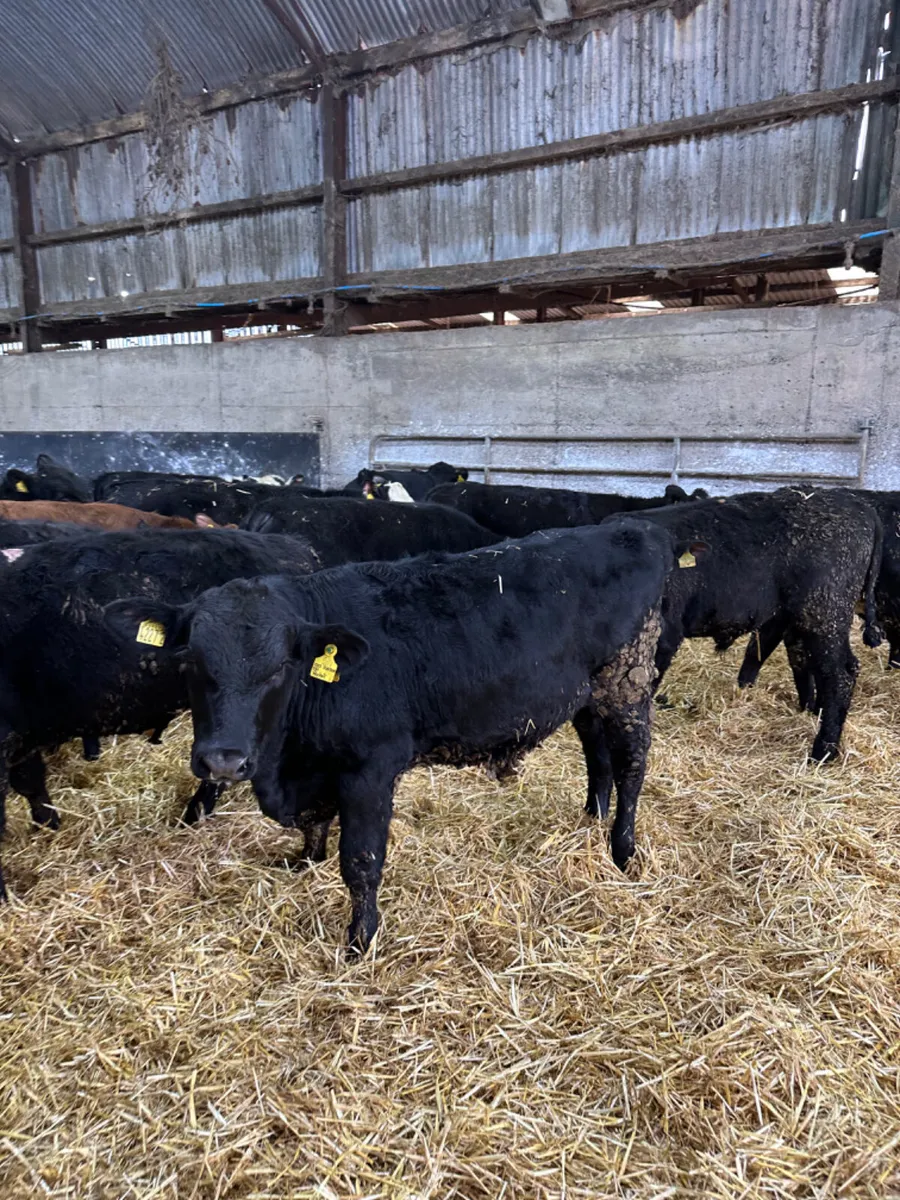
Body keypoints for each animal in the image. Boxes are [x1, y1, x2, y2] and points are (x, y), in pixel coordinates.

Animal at [105, 519, 674, 955]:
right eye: (192, 660)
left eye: (280, 668)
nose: (223, 760)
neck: (289, 762)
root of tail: (633, 529)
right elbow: (316, 826)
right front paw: (304, 861)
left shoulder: (370, 769)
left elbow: (360, 861)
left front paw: (361, 940)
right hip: (588, 692)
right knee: (596, 752)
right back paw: (591, 818)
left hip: (627, 680)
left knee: (631, 761)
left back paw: (623, 849)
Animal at [612, 488, 883, 762]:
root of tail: (858, 505)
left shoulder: (665, 635)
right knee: (807, 663)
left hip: (824, 614)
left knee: (840, 674)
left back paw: (822, 752)